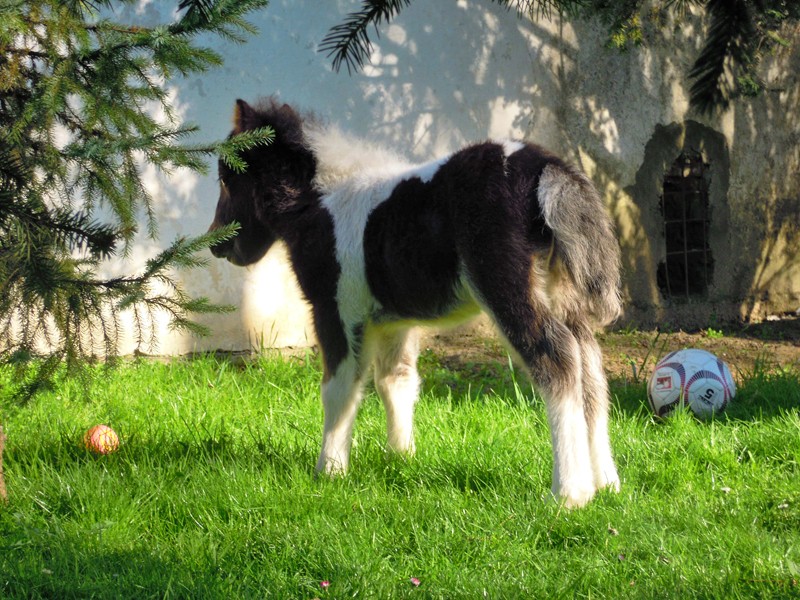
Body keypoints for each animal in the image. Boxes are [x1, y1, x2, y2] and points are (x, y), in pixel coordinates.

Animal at [207, 97, 622, 508]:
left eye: (228, 179)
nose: (216, 244)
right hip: (565, 298)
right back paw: (606, 483)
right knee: (591, 370)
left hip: (507, 287)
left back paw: (569, 493)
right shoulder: (394, 321)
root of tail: (545, 170)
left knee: (557, 359)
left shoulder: (335, 309)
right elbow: (397, 381)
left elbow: (339, 389)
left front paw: (330, 471)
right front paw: (401, 460)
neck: (323, 201)